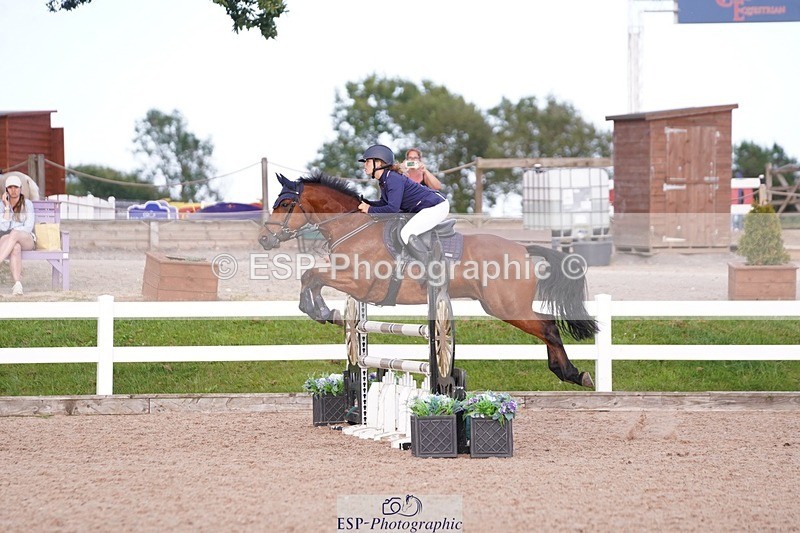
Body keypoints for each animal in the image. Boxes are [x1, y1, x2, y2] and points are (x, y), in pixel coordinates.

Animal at [259, 172, 597, 389]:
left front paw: (320, 311)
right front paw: (324, 312)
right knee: (547, 325)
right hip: (503, 306)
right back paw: (567, 373)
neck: (351, 227)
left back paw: (572, 373)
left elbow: (312, 275)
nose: (264, 239)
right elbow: (311, 277)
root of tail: (523, 249)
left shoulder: (360, 284)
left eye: (285, 204)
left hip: (506, 306)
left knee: (548, 327)